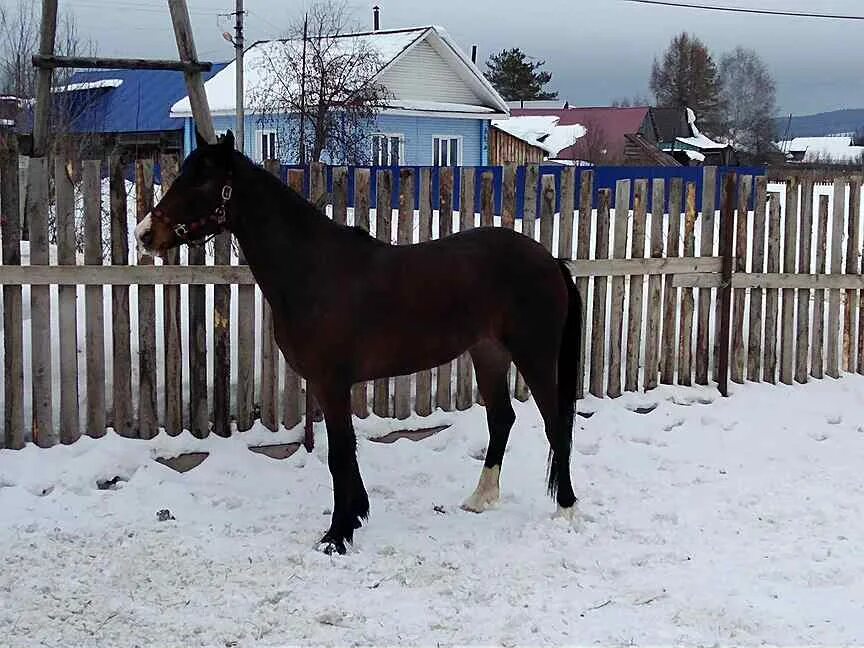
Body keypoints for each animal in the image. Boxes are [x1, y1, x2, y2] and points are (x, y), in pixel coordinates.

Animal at [135, 130, 580, 552]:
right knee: (502, 418)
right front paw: (357, 514)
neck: (314, 270)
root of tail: (549, 260)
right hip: (488, 353)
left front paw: (337, 535)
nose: (144, 234)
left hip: (535, 356)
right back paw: (480, 498)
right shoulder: (328, 385)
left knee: (555, 423)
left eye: (202, 182)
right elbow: (346, 451)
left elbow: (338, 454)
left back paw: (566, 509)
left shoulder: (331, 384)